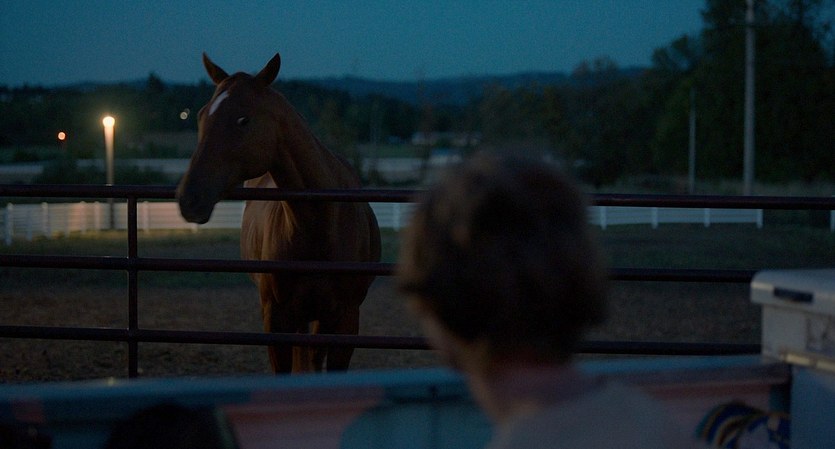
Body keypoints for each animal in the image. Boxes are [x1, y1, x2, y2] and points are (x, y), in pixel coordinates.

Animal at [176, 53, 381, 373]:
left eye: (243, 119)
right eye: (200, 116)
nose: (189, 198)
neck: (322, 224)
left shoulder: (346, 320)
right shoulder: (276, 318)